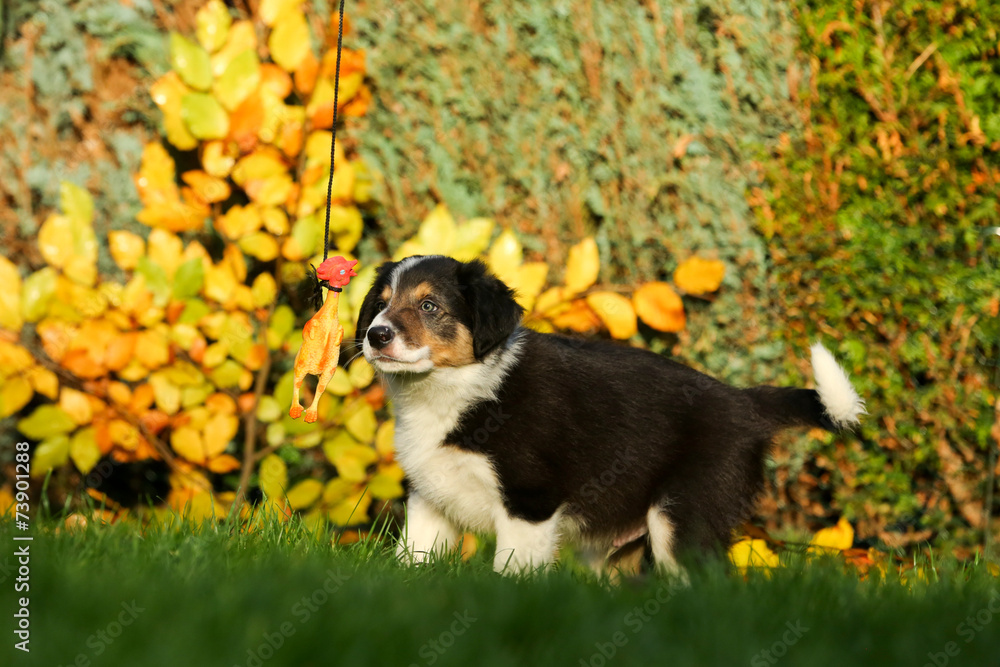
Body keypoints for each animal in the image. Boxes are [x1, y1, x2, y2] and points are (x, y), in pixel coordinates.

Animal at [360, 256, 868, 576]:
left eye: (429, 306)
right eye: (381, 304)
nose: (375, 335)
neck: (453, 390)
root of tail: (744, 403)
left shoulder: (530, 502)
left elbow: (512, 570)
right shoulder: (430, 499)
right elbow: (413, 557)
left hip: (684, 513)